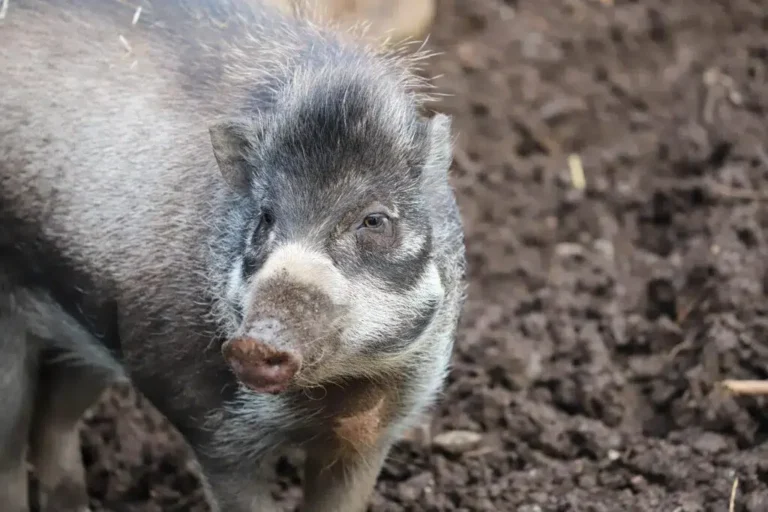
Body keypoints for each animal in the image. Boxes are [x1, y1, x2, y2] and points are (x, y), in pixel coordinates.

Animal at [0, 1, 468, 512]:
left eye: (375, 220)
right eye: (265, 216)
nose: (253, 343)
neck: (334, 393)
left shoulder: (378, 428)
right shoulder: (208, 419)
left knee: (53, 422)